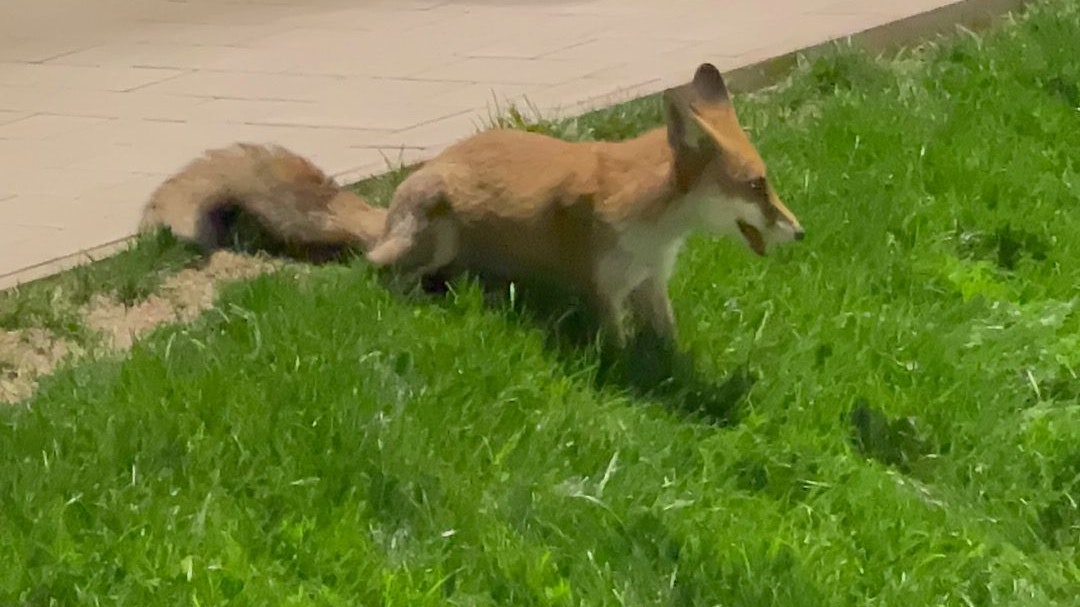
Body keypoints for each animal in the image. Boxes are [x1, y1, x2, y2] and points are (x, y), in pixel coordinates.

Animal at [140, 63, 804, 347]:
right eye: (757, 186)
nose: (800, 233)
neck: (652, 229)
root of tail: (388, 212)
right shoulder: (601, 290)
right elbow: (616, 347)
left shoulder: (649, 284)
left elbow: (668, 341)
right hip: (435, 232)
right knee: (377, 273)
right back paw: (432, 302)